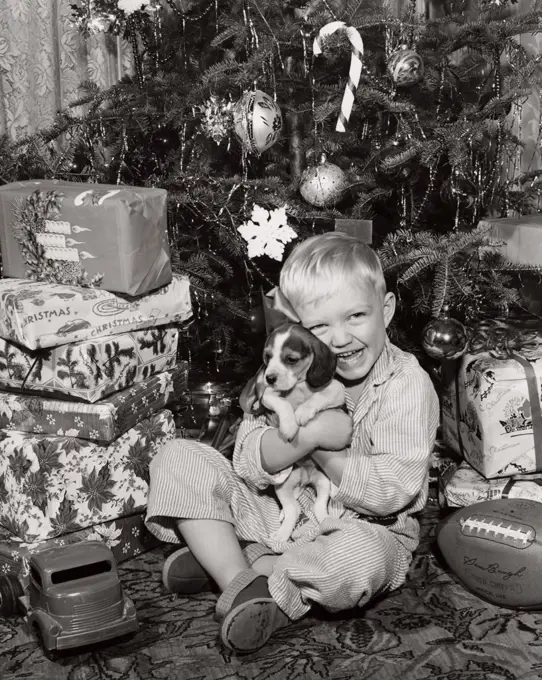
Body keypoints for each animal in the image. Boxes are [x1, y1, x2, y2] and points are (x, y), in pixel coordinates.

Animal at [241, 322, 346, 540]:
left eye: (291, 359)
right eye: (268, 356)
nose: (269, 377)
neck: (298, 385)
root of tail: (305, 478)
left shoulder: (337, 390)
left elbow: (319, 397)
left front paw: (303, 412)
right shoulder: (268, 395)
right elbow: (282, 403)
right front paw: (289, 426)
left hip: (323, 482)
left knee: (317, 507)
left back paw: (327, 521)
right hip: (282, 487)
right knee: (293, 510)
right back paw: (282, 533)